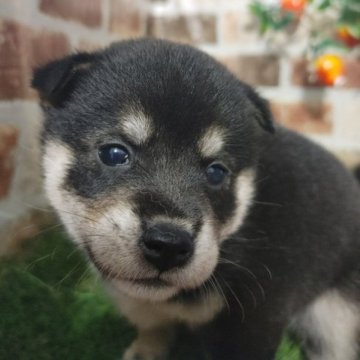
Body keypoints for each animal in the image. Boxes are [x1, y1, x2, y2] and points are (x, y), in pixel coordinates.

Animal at [33, 39, 360, 360]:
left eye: (216, 172)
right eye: (113, 153)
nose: (168, 245)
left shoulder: (252, 323)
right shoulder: (142, 306)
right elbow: (152, 328)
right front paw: (145, 351)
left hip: (336, 319)